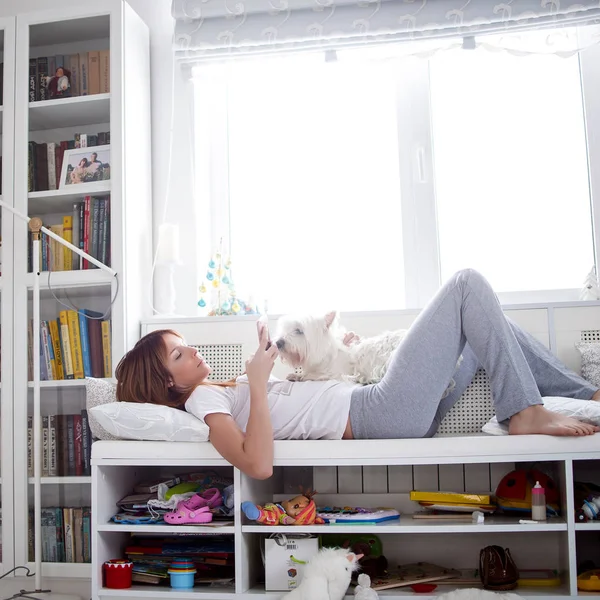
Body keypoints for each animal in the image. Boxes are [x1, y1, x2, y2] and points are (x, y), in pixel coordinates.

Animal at [274, 314, 462, 394]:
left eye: (299, 330)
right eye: (285, 328)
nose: (278, 342)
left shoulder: (337, 373)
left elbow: (315, 376)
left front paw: (300, 376)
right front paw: (295, 375)